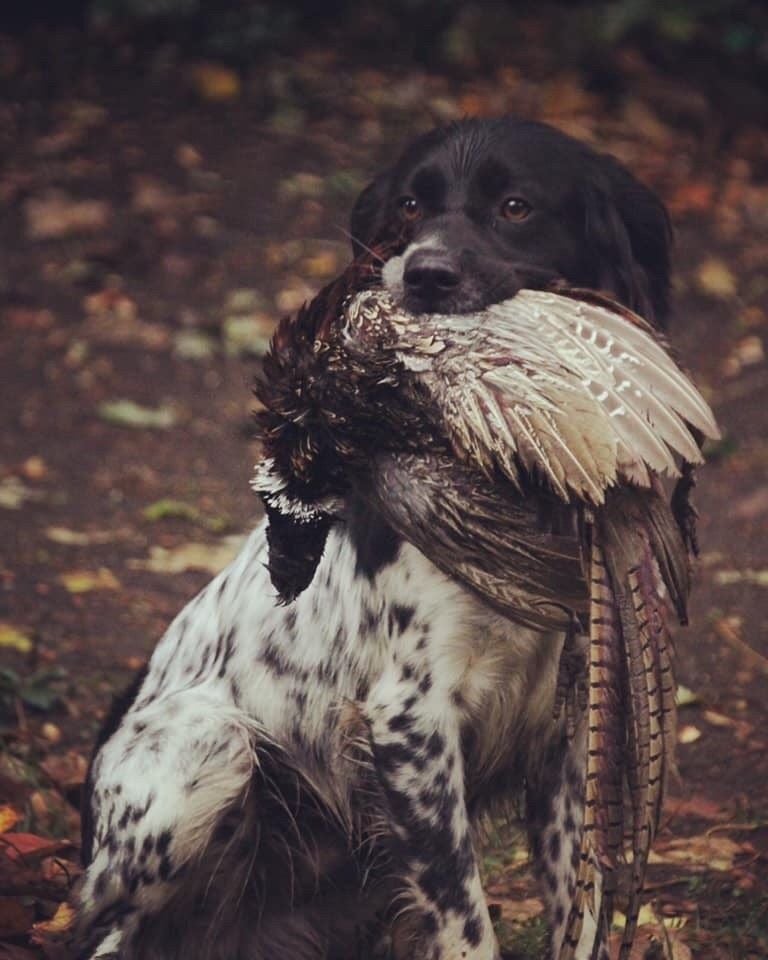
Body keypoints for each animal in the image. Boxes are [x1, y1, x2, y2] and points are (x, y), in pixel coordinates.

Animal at [73, 118, 672, 960]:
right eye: (409, 206)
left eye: (517, 206)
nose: (423, 276)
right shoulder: (410, 722)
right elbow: (466, 920)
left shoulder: (572, 725)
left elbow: (577, 909)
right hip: (206, 747)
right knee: (107, 930)